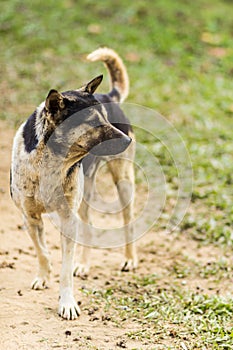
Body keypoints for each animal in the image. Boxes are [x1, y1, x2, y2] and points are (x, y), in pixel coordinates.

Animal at [10, 47, 137, 322]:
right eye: (92, 122)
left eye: (105, 117)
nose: (128, 140)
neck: (51, 160)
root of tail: (109, 94)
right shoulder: (29, 216)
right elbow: (42, 251)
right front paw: (43, 276)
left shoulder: (68, 219)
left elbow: (65, 270)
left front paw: (67, 304)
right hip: (85, 194)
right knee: (87, 226)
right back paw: (84, 264)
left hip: (123, 180)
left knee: (128, 219)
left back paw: (129, 259)